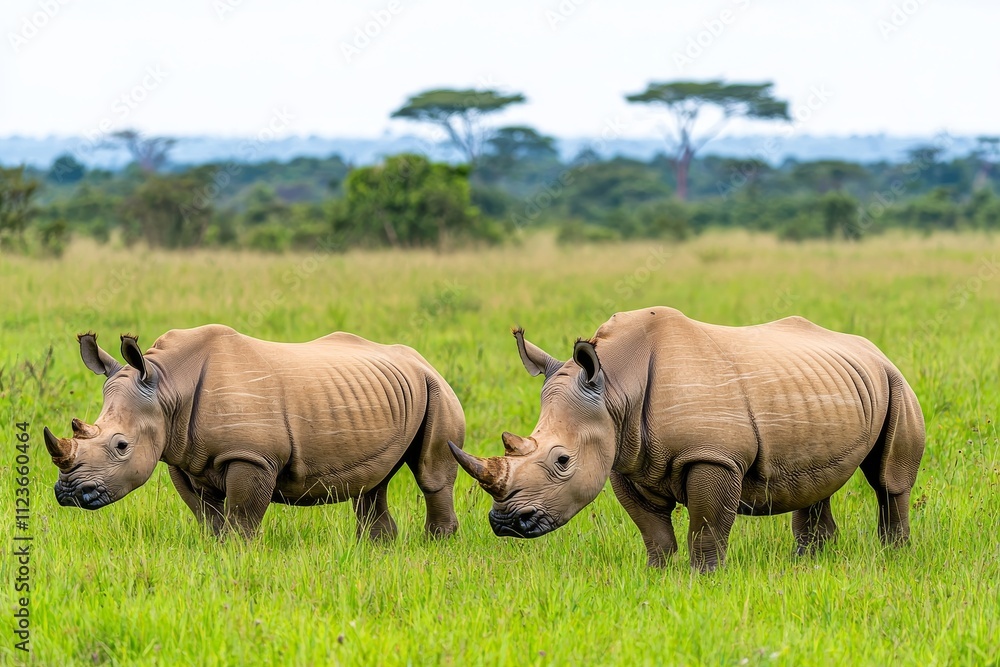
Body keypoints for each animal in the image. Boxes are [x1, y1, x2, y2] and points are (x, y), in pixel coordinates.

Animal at [43, 325, 466, 540]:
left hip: (436, 387)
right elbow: (206, 515)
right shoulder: (181, 456)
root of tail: (420, 358)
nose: (69, 494)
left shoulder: (252, 456)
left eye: (121, 445)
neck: (166, 386)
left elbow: (242, 518)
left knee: (431, 474)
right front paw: (213, 549)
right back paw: (376, 548)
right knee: (374, 481)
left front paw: (237, 554)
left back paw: (436, 545)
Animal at [450, 307, 925, 571]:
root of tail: (874, 349)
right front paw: (657, 574)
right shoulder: (624, 458)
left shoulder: (713, 456)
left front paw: (705, 579)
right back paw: (809, 562)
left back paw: (894, 555)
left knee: (887, 480)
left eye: (562, 461)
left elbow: (707, 527)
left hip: (895, 380)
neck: (616, 384)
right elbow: (652, 529)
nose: (506, 524)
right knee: (816, 481)